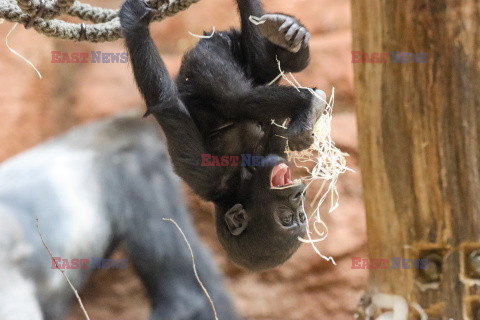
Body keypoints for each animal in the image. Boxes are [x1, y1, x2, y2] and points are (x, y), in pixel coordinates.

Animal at [119, 0, 326, 272]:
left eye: (299, 216)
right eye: (287, 217)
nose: (298, 196)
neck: (243, 178)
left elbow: (166, 103)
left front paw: (135, 28)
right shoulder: (210, 177)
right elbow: (168, 104)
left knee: (242, 92)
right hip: (212, 52)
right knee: (241, 92)